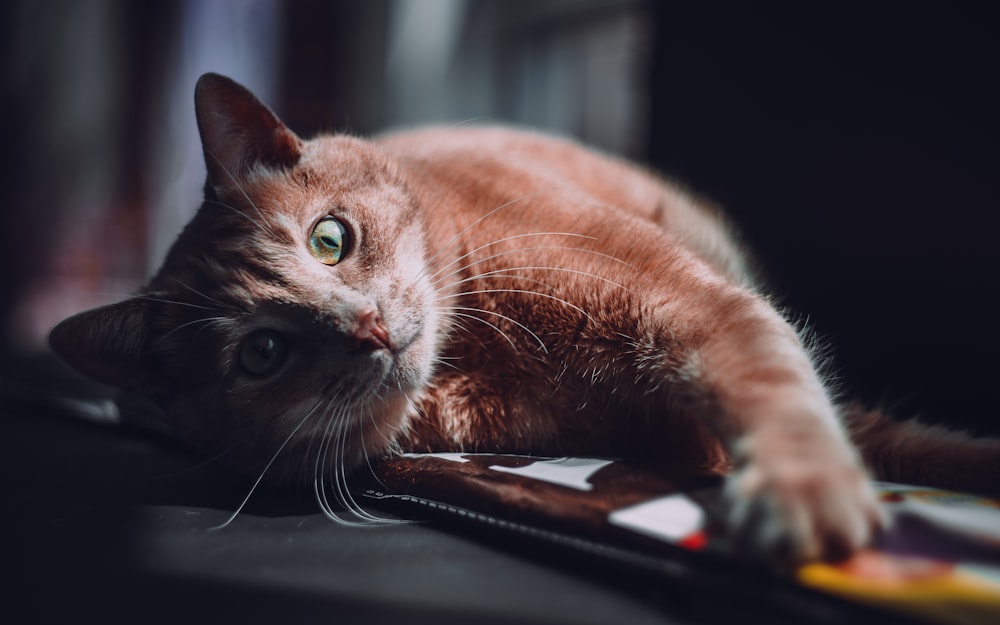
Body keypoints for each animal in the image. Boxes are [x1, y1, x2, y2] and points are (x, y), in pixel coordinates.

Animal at [48, 72, 1000, 560]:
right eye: (262, 354)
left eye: (329, 237)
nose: (367, 328)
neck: (477, 353)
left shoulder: (694, 304)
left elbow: (779, 387)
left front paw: (804, 488)